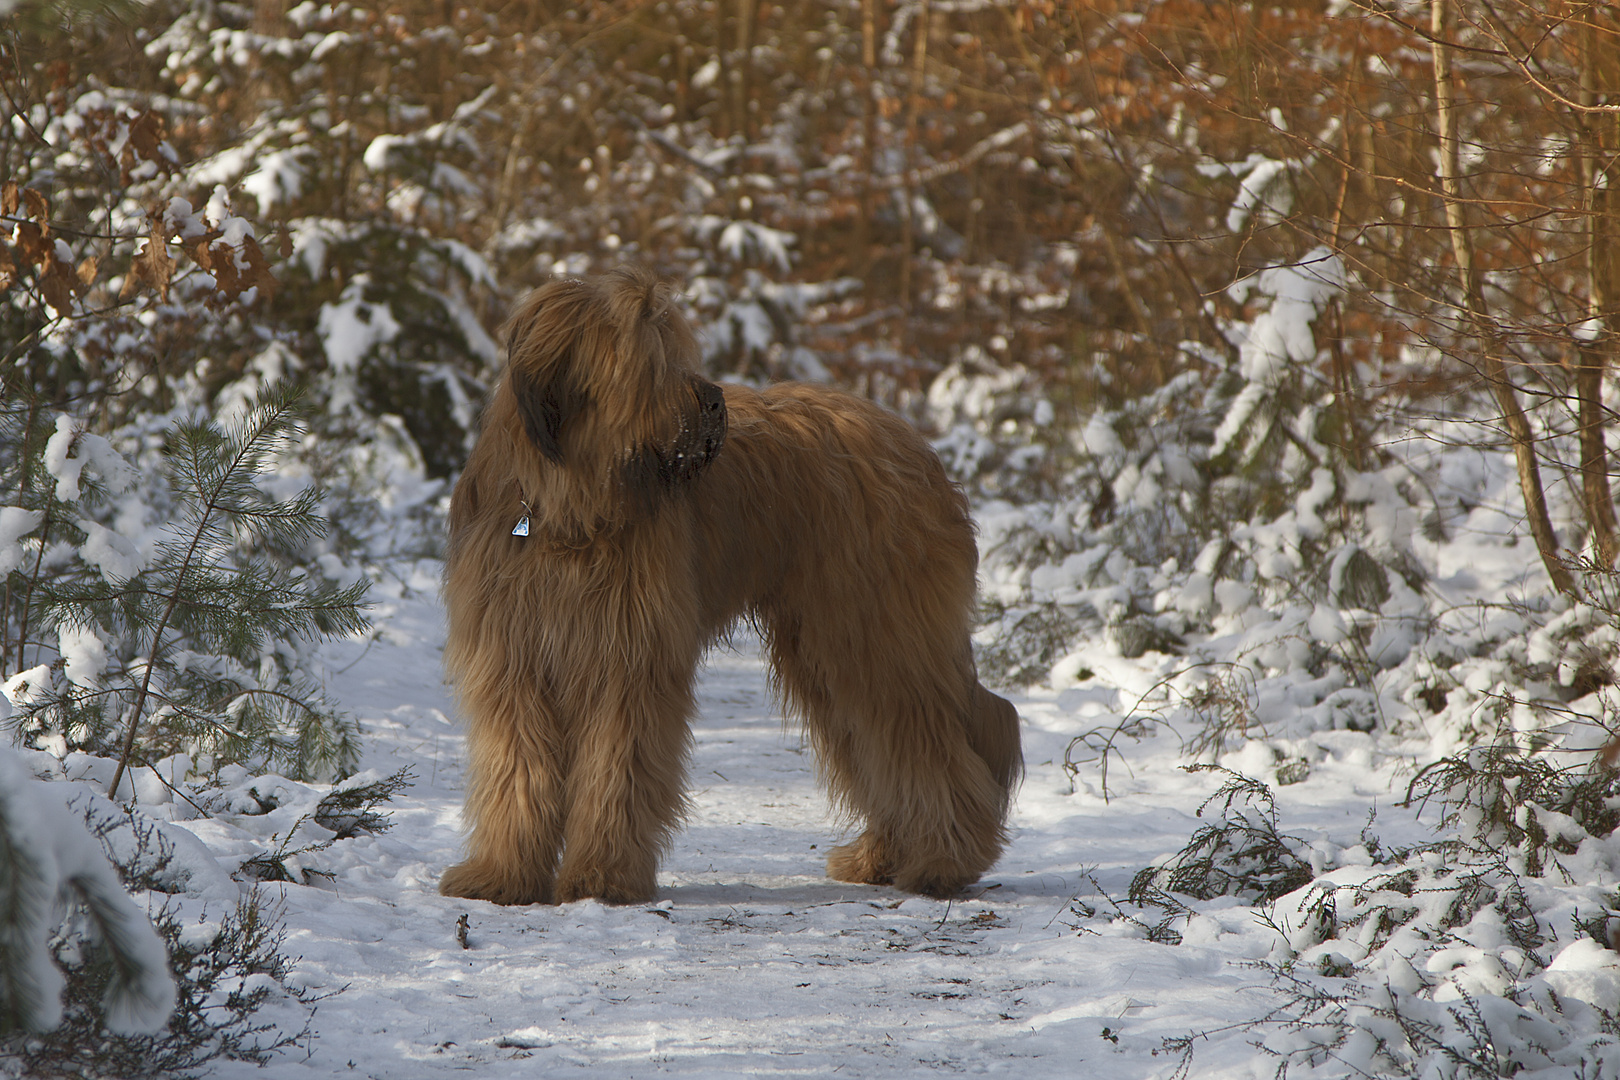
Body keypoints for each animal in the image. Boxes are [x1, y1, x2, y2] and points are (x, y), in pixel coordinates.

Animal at [440, 268, 1023, 906]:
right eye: (649, 363)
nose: (715, 400)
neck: (571, 511)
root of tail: (916, 444)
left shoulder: (630, 663)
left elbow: (617, 770)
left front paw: (603, 878)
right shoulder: (511, 660)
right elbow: (516, 768)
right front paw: (502, 876)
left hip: (876, 632)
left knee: (929, 742)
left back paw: (944, 860)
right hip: (830, 650)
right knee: (880, 746)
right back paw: (882, 856)